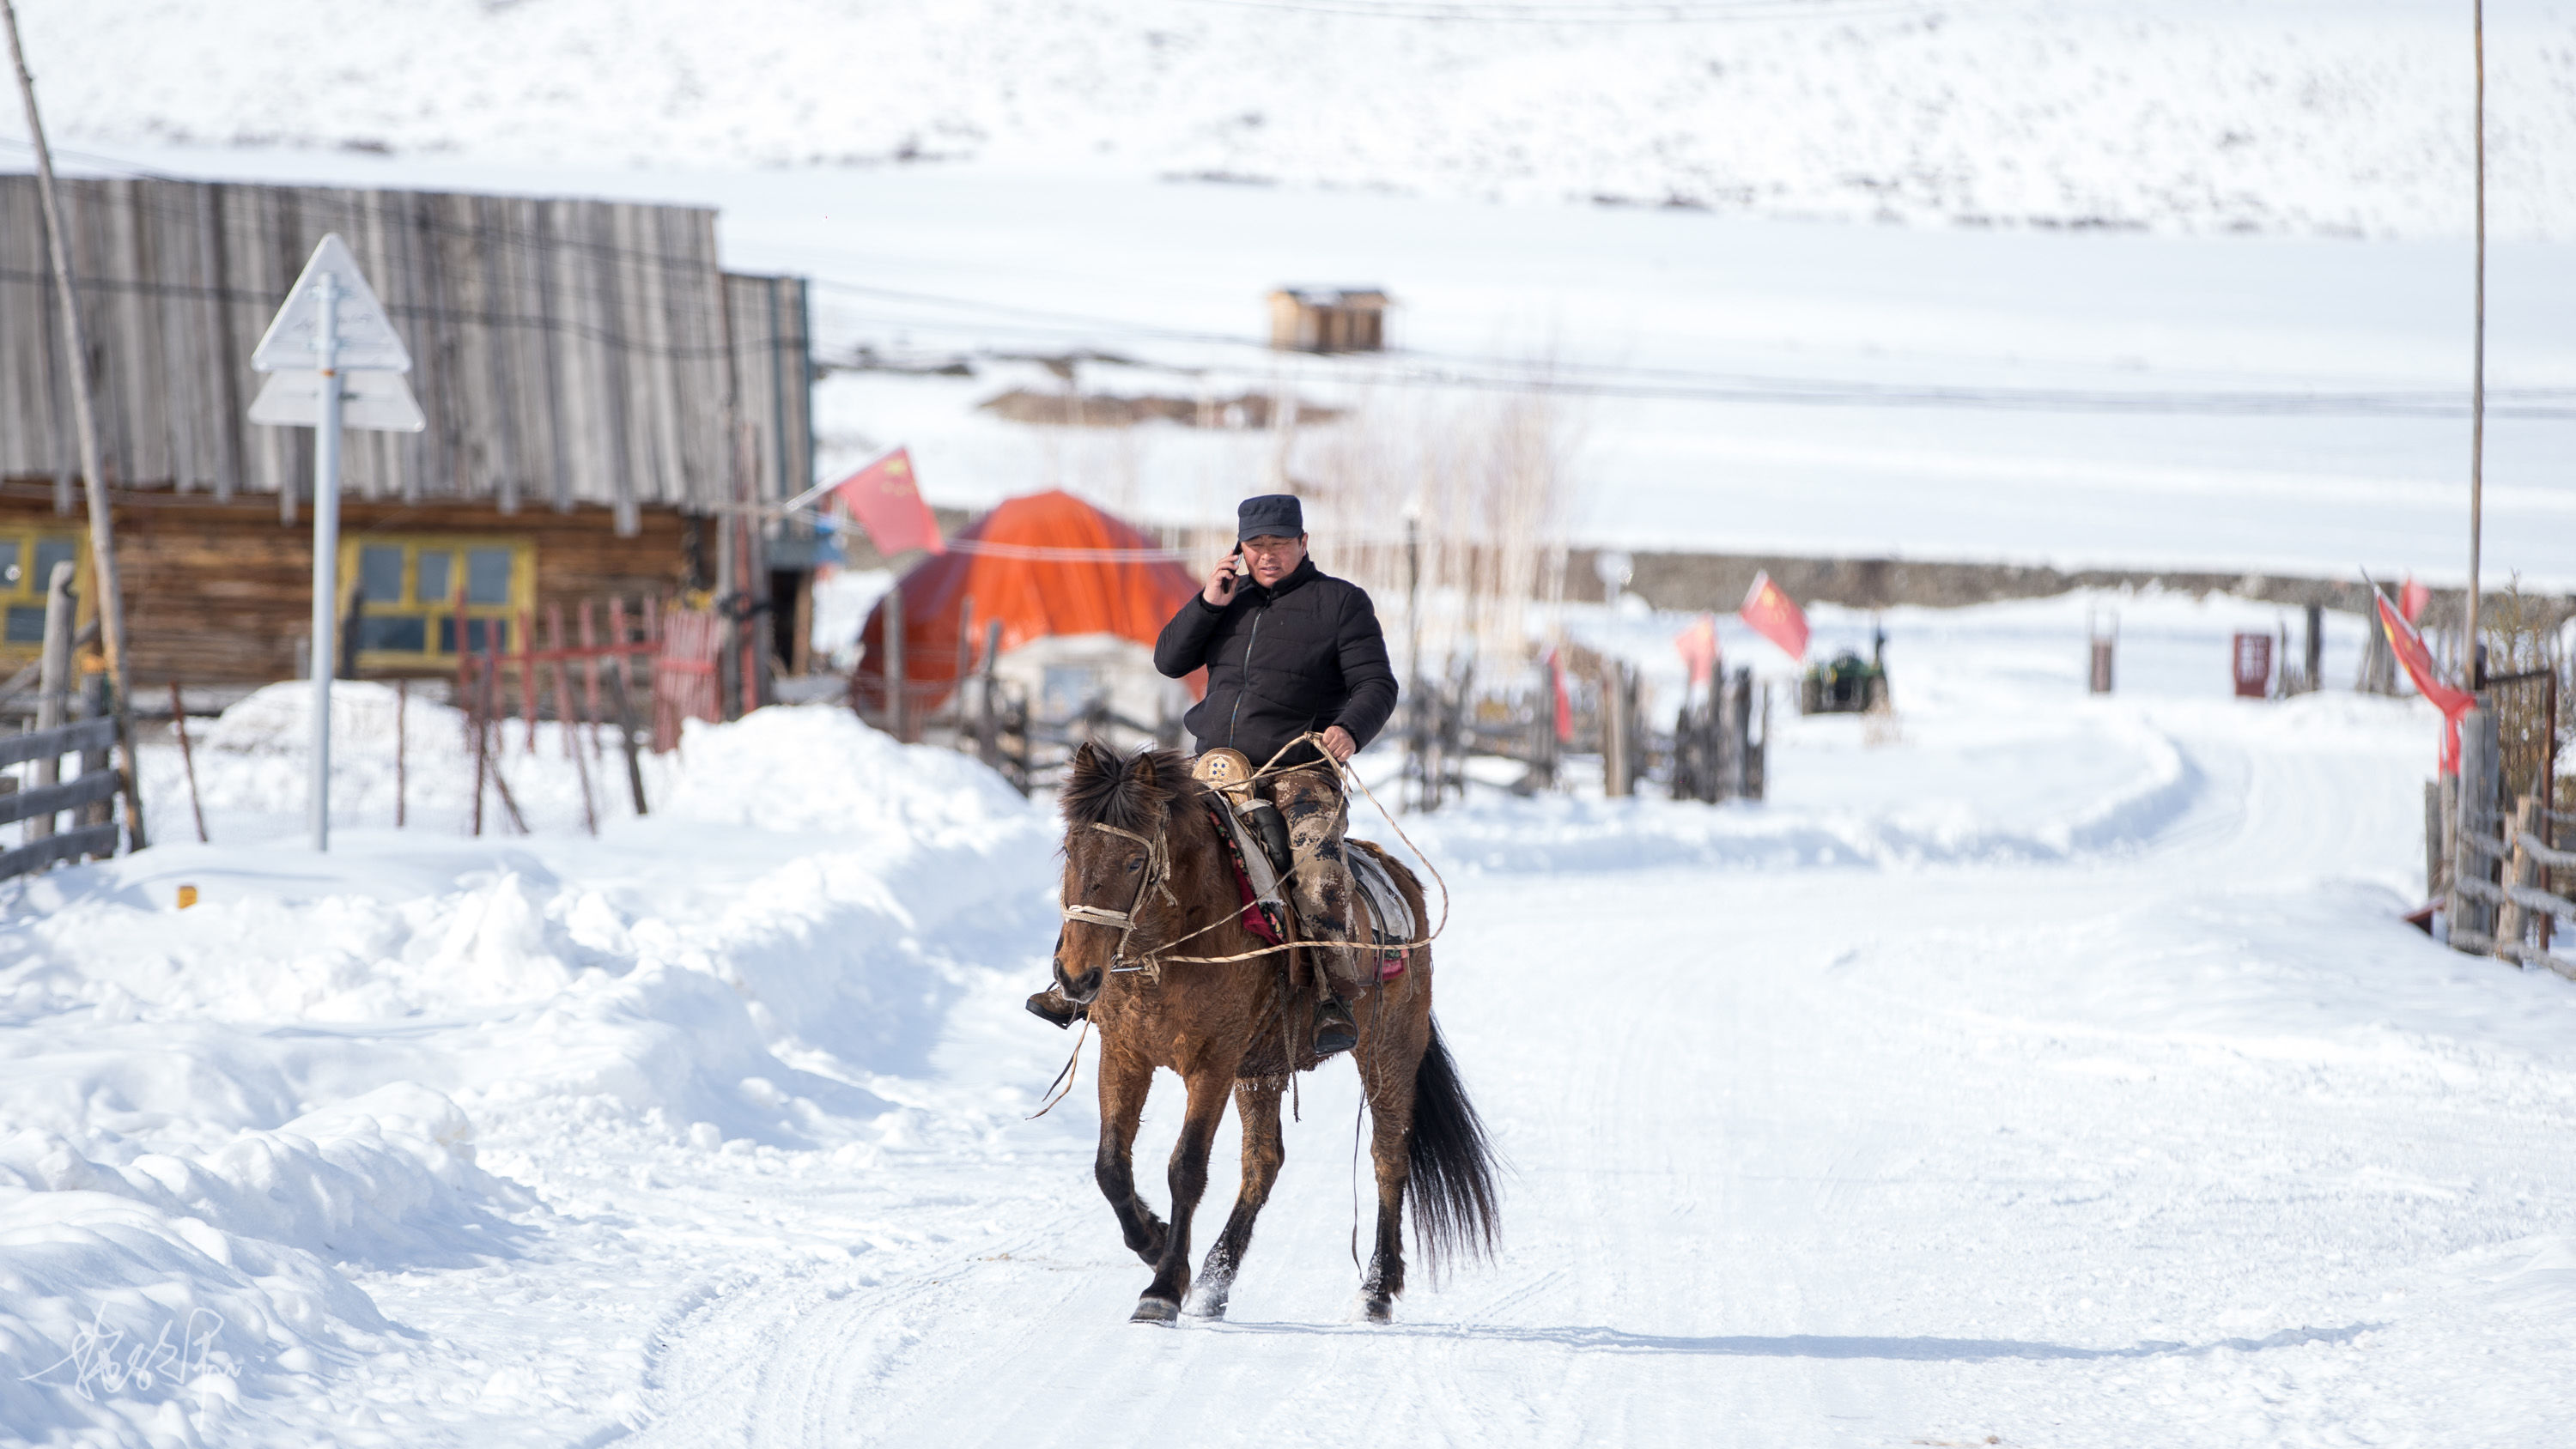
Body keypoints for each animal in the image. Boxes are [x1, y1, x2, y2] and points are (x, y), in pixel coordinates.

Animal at [1051, 746, 1504, 1328]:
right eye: (1071, 849)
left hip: (1388, 1050)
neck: (1172, 948)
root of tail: (1402, 881)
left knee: (1388, 1156)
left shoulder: (1214, 1063)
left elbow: (1186, 1167)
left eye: (1134, 862)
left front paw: (1163, 1287)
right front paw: (1154, 1241)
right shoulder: (1125, 1054)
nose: (1076, 976)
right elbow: (1110, 1166)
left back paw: (1376, 1290)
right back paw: (1215, 1283)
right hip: (1262, 1072)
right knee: (1264, 1162)